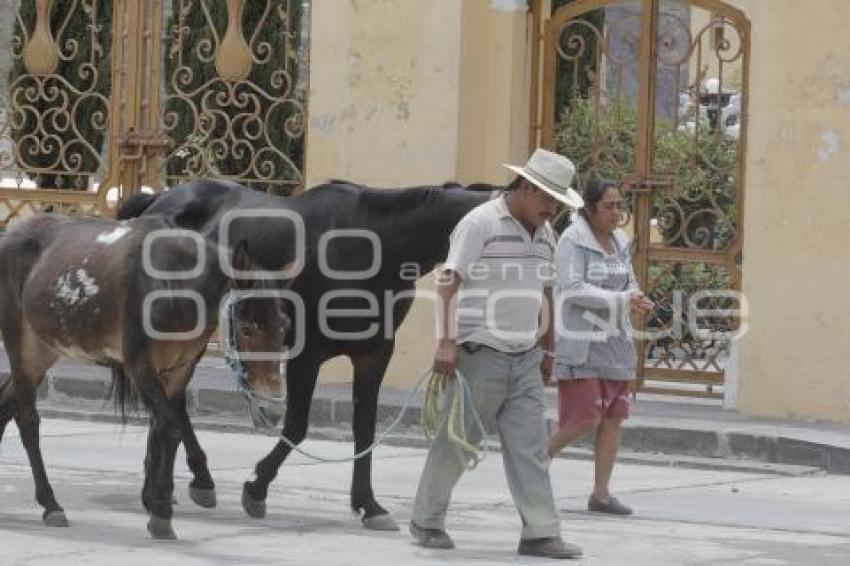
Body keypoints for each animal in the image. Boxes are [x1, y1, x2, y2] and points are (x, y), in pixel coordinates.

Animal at [0, 214, 288, 540]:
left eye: (283, 325)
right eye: (248, 328)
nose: (272, 409)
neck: (172, 285)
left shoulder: (177, 372)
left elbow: (162, 431)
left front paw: (155, 501)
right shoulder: (139, 367)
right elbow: (172, 428)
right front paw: (161, 511)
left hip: (42, 351)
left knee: (6, 402)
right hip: (21, 348)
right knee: (27, 421)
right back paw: (50, 504)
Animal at [117, 179, 490, 532]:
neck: (374, 247)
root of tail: (159, 200)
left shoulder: (374, 354)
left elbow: (365, 430)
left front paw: (369, 505)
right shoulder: (306, 353)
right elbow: (296, 426)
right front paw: (256, 488)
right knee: (175, 401)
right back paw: (199, 479)